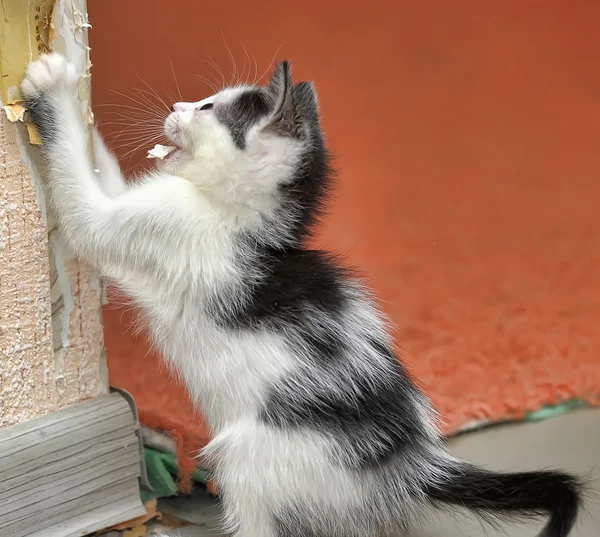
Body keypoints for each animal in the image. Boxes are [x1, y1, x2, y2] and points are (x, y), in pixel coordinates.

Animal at [23, 53, 580, 536]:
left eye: (209, 109)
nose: (178, 107)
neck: (241, 221)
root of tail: (409, 460)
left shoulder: (157, 225)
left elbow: (84, 204)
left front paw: (55, 87)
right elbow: (104, 173)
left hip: (254, 457)